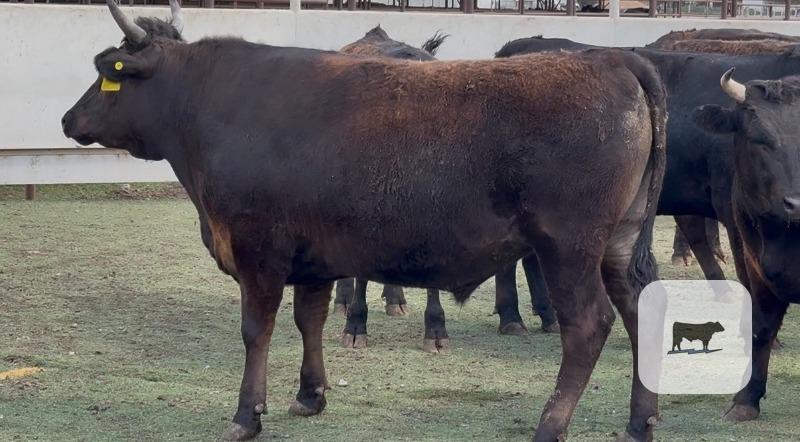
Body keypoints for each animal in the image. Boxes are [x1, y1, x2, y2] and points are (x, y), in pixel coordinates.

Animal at [62, 2, 667, 440]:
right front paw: (310, 394)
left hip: (569, 247)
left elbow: (257, 331)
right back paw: (641, 420)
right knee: (641, 309)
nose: (68, 119)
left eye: (106, 71)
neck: (214, 106)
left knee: (587, 326)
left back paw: (550, 424)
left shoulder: (259, 252)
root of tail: (614, 61)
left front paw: (246, 415)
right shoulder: (311, 257)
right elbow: (309, 321)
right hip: (618, 242)